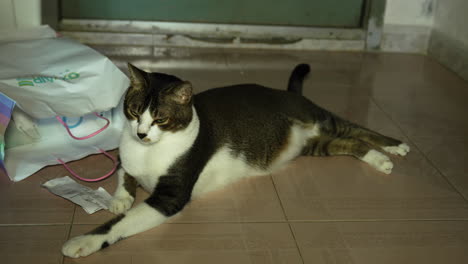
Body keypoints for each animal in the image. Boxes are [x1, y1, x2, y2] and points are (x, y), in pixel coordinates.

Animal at [60, 62, 408, 258]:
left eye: (160, 119)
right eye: (133, 111)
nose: (142, 133)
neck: (149, 151)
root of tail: (288, 93)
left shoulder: (170, 197)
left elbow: (121, 223)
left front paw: (81, 242)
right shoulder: (127, 156)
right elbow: (123, 173)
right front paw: (120, 199)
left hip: (319, 119)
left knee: (356, 128)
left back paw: (395, 146)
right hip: (315, 144)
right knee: (350, 143)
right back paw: (378, 159)